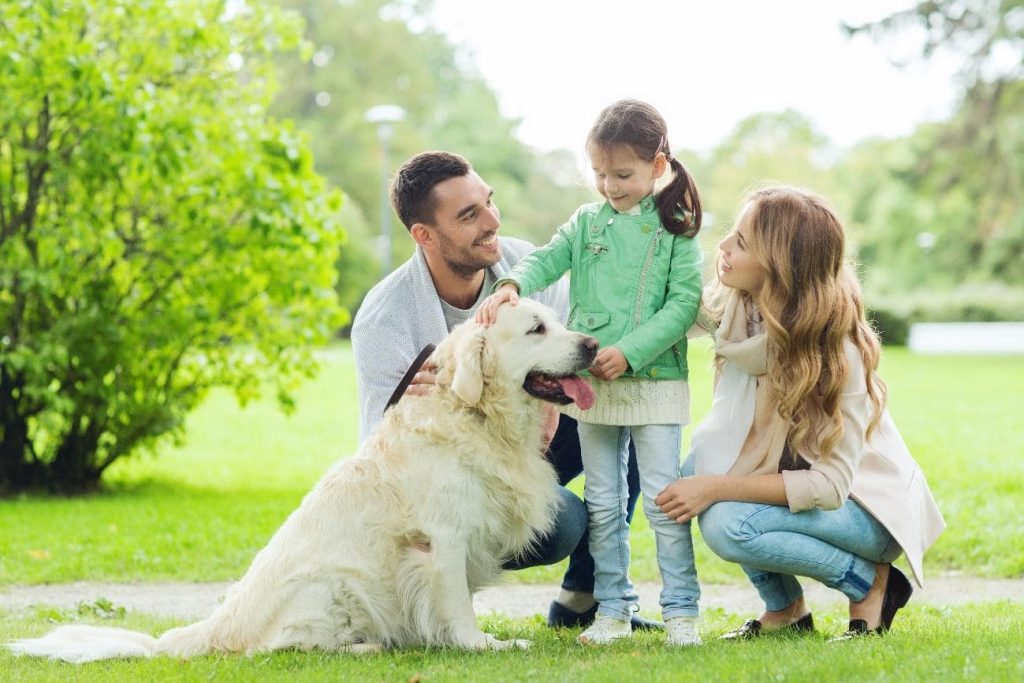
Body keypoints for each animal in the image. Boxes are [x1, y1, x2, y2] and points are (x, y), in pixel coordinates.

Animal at [8, 299, 598, 663]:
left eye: (557, 320)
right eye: (536, 329)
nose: (592, 345)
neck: (478, 417)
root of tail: (218, 625)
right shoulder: (443, 540)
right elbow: (455, 604)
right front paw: (481, 644)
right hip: (330, 585)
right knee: (278, 647)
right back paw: (367, 646)